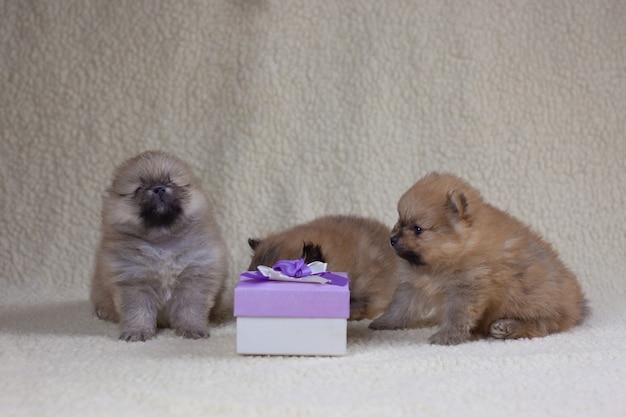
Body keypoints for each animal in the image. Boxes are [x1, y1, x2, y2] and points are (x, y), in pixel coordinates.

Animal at [91, 151, 228, 340]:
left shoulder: (194, 278)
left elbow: (190, 309)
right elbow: (138, 311)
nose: (159, 188)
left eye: (171, 181)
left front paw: (192, 329)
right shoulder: (133, 281)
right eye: (139, 187)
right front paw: (137, 332)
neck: (163, 242)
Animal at [366, 172, 584, 344]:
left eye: (418, 229)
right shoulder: (412, 286)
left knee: (542, 324)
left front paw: (447, 336)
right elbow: (399, 308)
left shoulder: (467, 289)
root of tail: (578, 302)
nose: (392, 239)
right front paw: (384, 322)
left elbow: (457, 316)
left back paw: (507, 326)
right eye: (399, 220)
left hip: (531, 300)